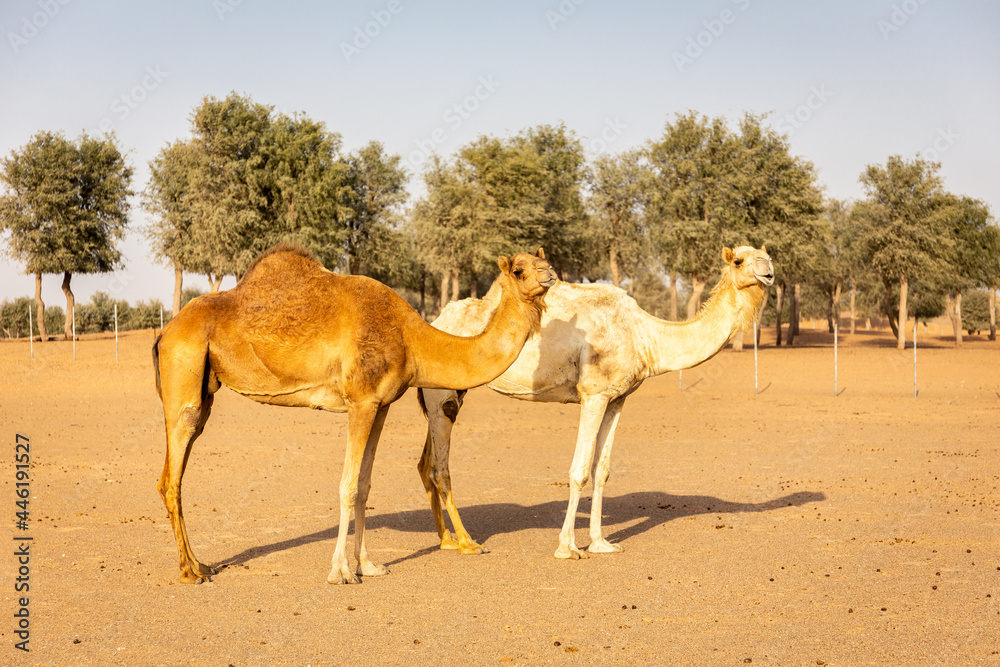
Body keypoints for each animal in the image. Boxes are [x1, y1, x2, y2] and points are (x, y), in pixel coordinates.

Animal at [151, 245, 556, 584]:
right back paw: (189, 571)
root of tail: (165, 331)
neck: (412, 340)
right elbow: (346, 485)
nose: (550, 273)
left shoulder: (381, 404)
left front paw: (369, 565)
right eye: (519, 270)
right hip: (185, 369)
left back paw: (201, 564)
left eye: (544, 258)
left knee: (172, 472)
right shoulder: (360, 400)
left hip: (206, 390)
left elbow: (363, 485)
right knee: (173, 475)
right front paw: (341, 572)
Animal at [414, 245, 772, 560]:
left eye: (765, 254)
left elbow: (602, 470)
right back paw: (465, 543)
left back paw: (446, 540)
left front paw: (601, 543)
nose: (768, 270)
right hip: (441, 395)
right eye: (739, 260)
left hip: (450, 392)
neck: (644, 335)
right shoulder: (593, 394)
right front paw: (567, 548)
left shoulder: (617, 398)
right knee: (440, 466)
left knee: (425, 462)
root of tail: (435, 323)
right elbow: (579, 470)